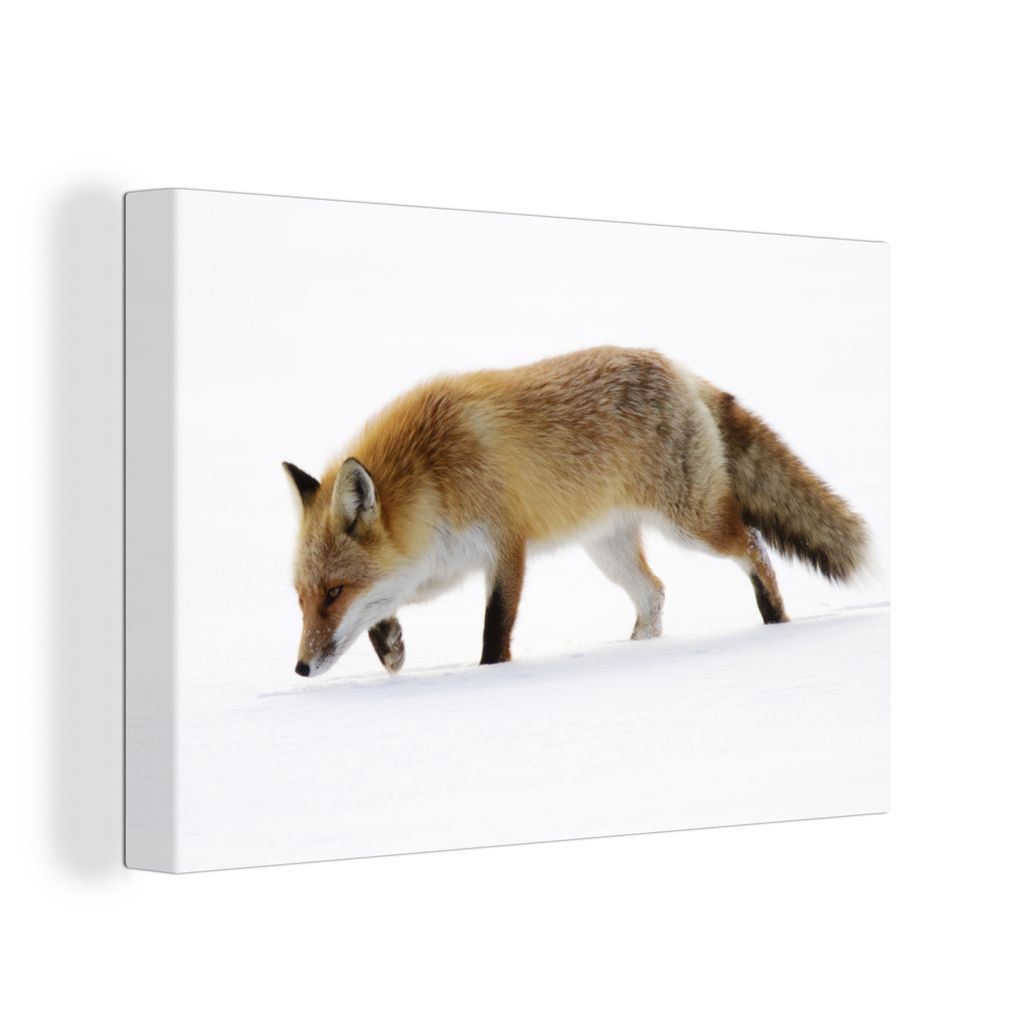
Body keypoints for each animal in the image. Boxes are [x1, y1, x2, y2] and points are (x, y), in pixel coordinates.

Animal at [283, 346, 868, 678]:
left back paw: (774, 620)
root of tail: (677, 367)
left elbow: (495, 631)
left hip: (693, 524)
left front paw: (488, 679)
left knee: (753, 546)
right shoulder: (432, 565)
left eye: (334, 592)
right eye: (305, 598)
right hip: (606, 549)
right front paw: (391, 646)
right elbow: (383, 607)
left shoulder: (505, 546)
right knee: (654, 594)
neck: (433, 477)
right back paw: (636, 651)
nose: (301, 668)